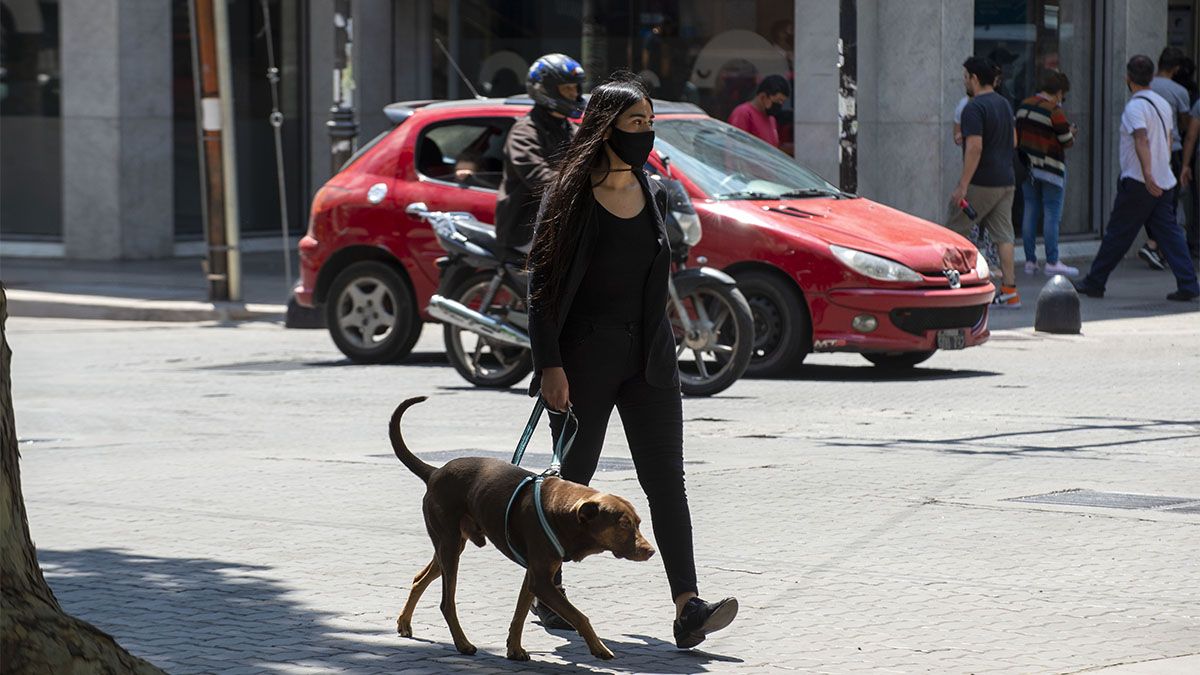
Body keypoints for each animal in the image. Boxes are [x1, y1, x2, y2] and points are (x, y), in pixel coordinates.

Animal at [391, 393, 657, 658]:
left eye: (638, 523)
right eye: (623, 524)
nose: (651, 551)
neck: (563, 513)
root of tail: (435, 473)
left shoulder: (534, 575)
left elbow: (519, 613)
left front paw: (515, 648)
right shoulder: (542, 581)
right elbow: (579, 616)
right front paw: (599, 647)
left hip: (450, 545)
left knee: (420, 578)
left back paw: (405, 622)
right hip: (449, 543)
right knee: (447, 602)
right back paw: (463, 643)